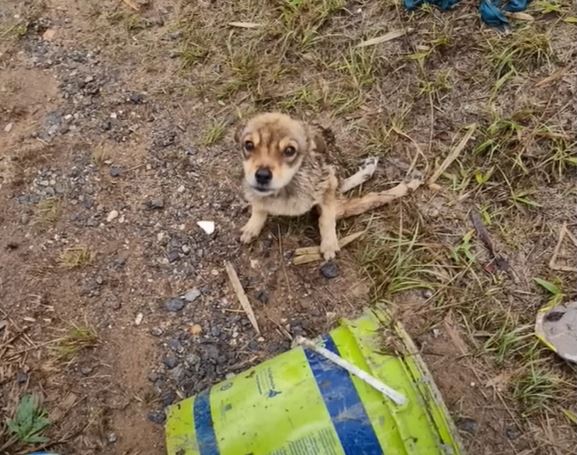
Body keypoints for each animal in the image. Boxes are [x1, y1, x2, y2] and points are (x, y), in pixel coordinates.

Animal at [236, 113, 412, 260]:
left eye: (289, 150)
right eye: (249, 145)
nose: (262, 175)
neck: (286, 188)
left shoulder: (328, 184)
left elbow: (326, 219)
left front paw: (329, 244)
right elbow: (259, 208)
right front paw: (252, 227)